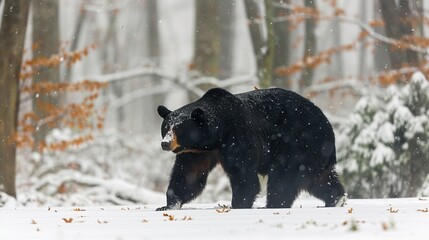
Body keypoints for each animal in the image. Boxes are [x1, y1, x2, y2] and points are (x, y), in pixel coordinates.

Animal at [155, 88, 346, 210]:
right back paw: (336, 199)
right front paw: (169, 204)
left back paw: (272, 205)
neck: (216, 136)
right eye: (166, 127)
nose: (165, 143)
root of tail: (328, 126)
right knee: (319, 178)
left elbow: (243, 173)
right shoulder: (197, 152)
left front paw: (239, 204)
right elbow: (189, 174)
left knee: (283, 177)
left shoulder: (237, 136)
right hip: (314, 152)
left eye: (179, 129)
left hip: (298, 143)